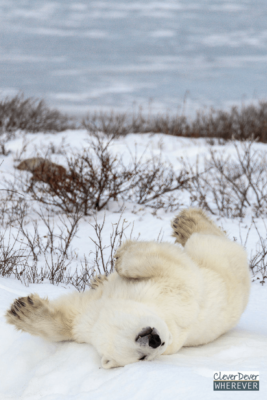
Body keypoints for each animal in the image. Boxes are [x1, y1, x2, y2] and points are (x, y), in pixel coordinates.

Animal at [5, 209, 250, 368]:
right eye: (142, 358)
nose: (155, 340)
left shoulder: (175, 300)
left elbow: (176, 271)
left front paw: (122, 256)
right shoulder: (88, 316)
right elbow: (67, 320)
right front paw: (23, 310)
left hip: (220, 261)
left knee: (205, 241)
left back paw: (187, 221)